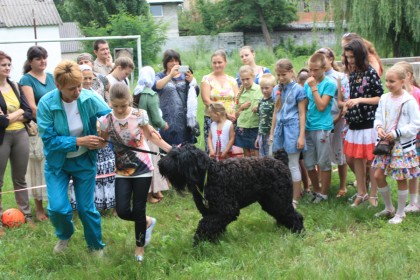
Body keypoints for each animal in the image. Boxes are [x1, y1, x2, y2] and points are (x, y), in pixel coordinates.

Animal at [159, 143, 304, 244]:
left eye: (177, 157)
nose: (161, 164)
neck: (209, 175)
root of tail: (281, 162)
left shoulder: (226, 210)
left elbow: (204, 225)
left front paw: (197, 243)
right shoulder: (211, 212)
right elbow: (212, 226)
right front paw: (213, 242)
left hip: (279, 201)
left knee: (296, 216)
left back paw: (299, 233)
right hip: (271, 202)